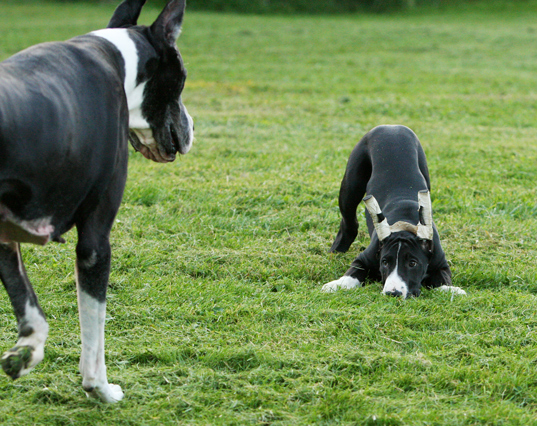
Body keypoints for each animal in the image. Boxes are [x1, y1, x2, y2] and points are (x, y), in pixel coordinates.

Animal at [0, 0, 194, 402]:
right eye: (182, 79)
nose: (192, 127)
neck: (117, 60)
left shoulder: (6, 237)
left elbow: (29, 307)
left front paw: (27, 351)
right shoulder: (94, 244)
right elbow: (95, 335)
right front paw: (101, 389)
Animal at [322, 125, 464, 300]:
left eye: (412, 263)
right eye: (385, 262)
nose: (393, 293)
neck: (405, 224)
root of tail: (391, 127)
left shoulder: (441, 264)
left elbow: (442, 279)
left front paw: (451, 289)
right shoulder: (363, 259)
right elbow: (352, 274)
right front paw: (337, 284)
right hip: (350, 187)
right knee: (349, 222)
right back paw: (337, 249)